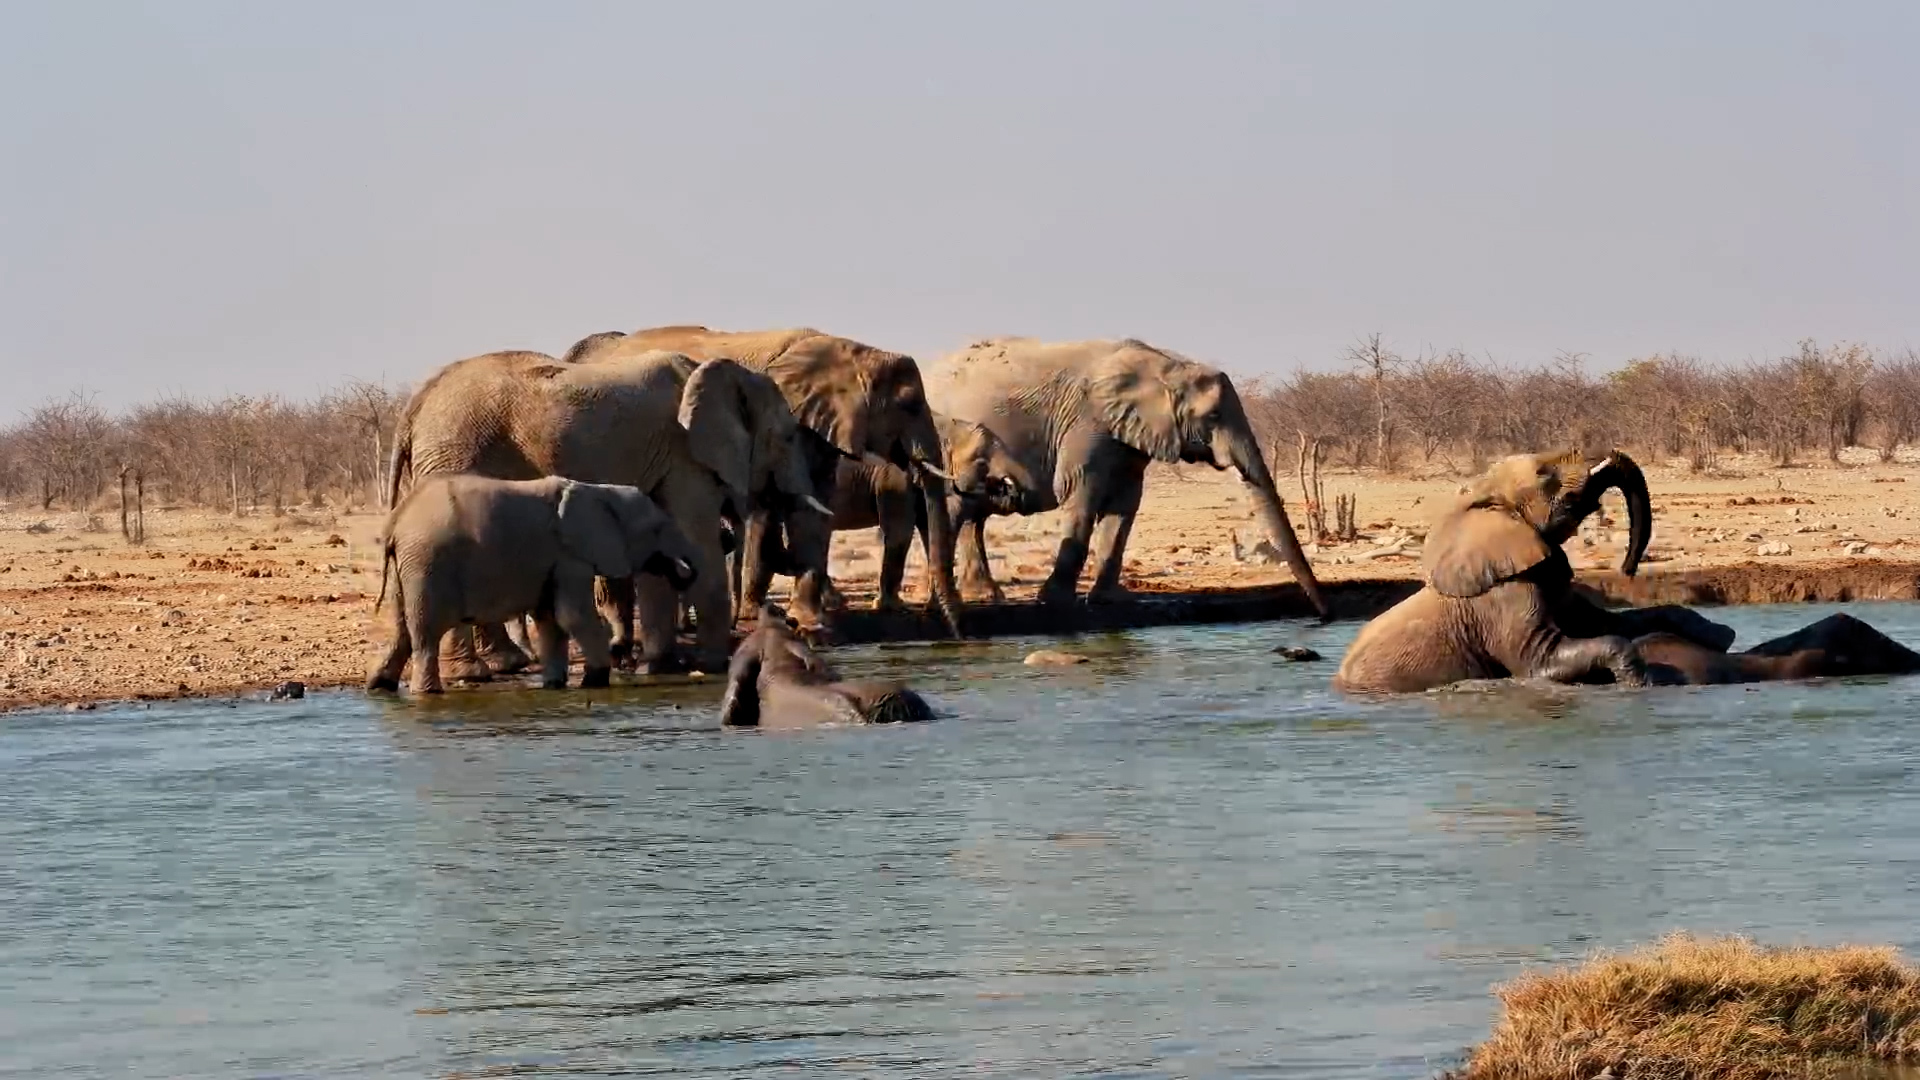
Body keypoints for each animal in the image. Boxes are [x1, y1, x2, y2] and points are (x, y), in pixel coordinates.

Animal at [366, 475, 699, 694]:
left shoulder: (556, 560)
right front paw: (595, 680)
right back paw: (427, 694)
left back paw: (380, 687)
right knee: (425, 634)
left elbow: (550, 618)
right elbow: (572, 615)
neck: (601, 492)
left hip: (408, 566)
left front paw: (554, 685)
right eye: (657, 529)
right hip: (427, 563)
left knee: (403, 630)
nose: (683, 569)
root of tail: (395, 521)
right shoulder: (570, 557)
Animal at [385, 347, 827, 676]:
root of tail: (414, 406)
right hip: (458, 453)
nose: (800, 625)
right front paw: (713, 664)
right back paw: (480, 672)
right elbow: (697, 542)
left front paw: (660, 666)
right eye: (789, 437)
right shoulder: (685, 456)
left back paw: (499, 665)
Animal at [603, 326, 967, 638]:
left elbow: (812, 504)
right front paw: (804, 620)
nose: (958, 636)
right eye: (910, 405)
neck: (854, 352)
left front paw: (807, 618)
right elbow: (791, 508)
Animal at [921, 337, 1328, 615]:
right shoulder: (1087, 426)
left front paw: (1108, 601)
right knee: (964, 511)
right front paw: (1054, 602)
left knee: (973, 515)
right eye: (1213, 417)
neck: (1166, 366)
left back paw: (985, 595)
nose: (1323, 615)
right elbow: (1080, 496)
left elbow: (1125, 507)